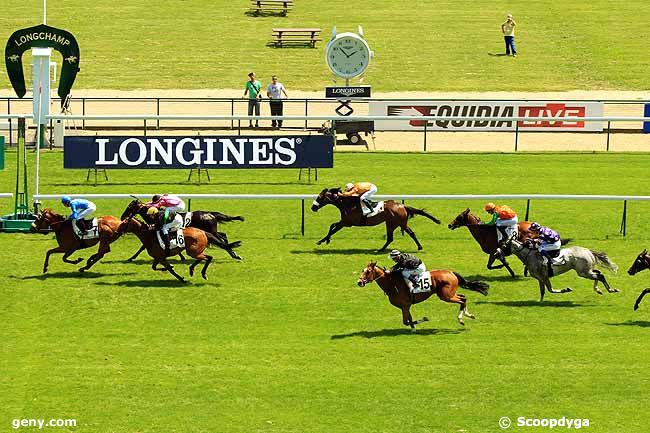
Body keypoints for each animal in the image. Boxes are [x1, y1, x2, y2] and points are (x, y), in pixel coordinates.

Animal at [310, 187, 440, 251]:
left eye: (320, 197)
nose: (313, 207)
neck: (347, 203)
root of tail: (402, 206)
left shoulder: (346, 222)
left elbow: (333, 229)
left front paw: (322, 240)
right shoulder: (345, 222)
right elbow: (332, 225)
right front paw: (325, 240)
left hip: (395, 223)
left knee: (394, 237)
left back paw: (380, 250)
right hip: (396, 223)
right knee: (406, 234)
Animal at [354, 260, 486, 330]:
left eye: (368, 271)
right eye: (362, 270)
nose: (359, 282)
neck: (392, 283)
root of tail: (451, 272)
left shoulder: (405, 305)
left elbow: (407, 321)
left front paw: (424, 319)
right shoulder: (405, 306)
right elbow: (408, 320)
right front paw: (414, 328)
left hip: (446, 296)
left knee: (462, 300)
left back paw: (461, 319)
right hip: (449, 294)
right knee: (463, 297)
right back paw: (469, 315)